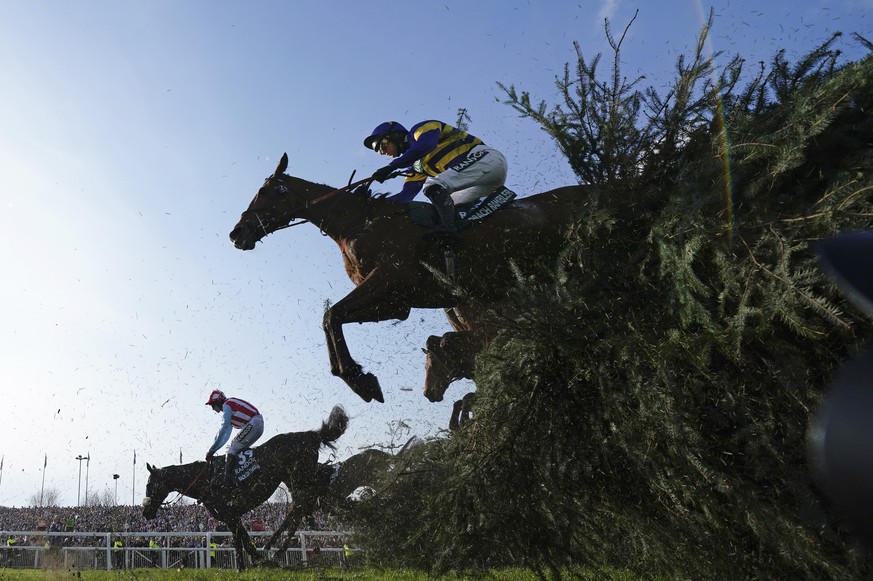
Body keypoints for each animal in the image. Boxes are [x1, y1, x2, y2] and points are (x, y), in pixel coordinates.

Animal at [230, 154, 584, 404]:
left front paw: (359, 380)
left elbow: (332, 315)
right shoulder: (397, 303)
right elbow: (333, 318)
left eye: (264, 191)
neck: (359, 223)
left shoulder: (389, 279)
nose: (237, 233)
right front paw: (356, 376)